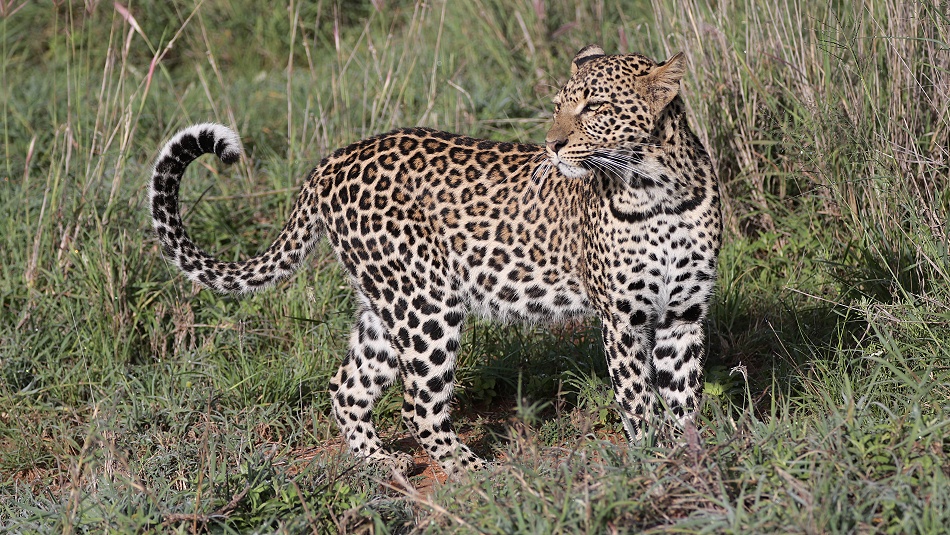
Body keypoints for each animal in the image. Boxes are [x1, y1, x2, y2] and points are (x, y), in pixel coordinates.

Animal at [149, 45, 721, 477]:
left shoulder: (684, 316)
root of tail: (331, 161)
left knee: (347, 386)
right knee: (418, 405)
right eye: (560, 105)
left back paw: (381, 463)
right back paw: (473, 470)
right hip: (426, 305)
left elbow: (684, 398)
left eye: (595, 107)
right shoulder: (622, 319)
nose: (551, 145)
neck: (656, 193)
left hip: (389, 305)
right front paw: (650, 461)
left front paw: (689, 457)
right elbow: (639, 400)